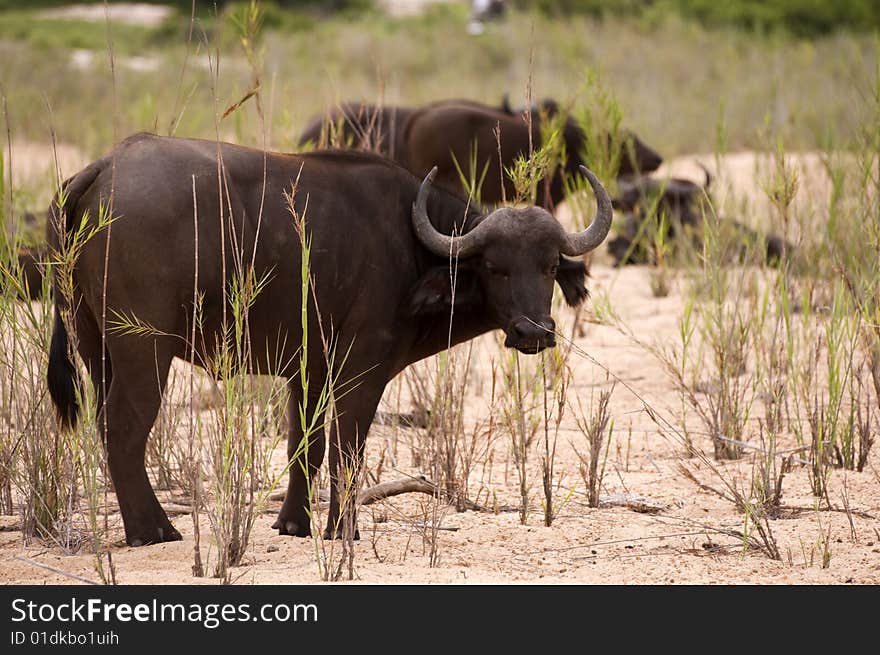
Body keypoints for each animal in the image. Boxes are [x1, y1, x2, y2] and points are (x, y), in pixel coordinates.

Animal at [46, 131, 612, 544]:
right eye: (495, 267)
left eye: (549, 266)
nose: (533, 332)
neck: (411, 247)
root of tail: (104, 169)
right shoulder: (362, 372)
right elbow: (347, 448)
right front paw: (344, 528)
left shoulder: (306, 372)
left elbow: (305, 445)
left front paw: (294, 523)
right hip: (143, 351)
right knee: (124, 430)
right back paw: (154, 530)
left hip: (95, 348)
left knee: (105, 427)